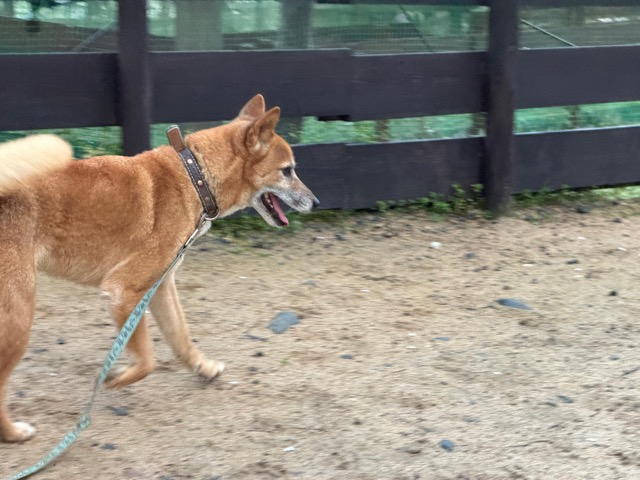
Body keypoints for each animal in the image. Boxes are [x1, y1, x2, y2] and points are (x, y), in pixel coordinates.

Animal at [0, 94, 319, 442]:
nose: (316, 202)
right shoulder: (125, 291)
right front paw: (116, 376)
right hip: (18, 319)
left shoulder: (162, 286)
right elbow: (146, 361)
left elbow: (181, 338)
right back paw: (14, 433)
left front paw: (204, 368)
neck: (194, 177)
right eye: (287, 171)